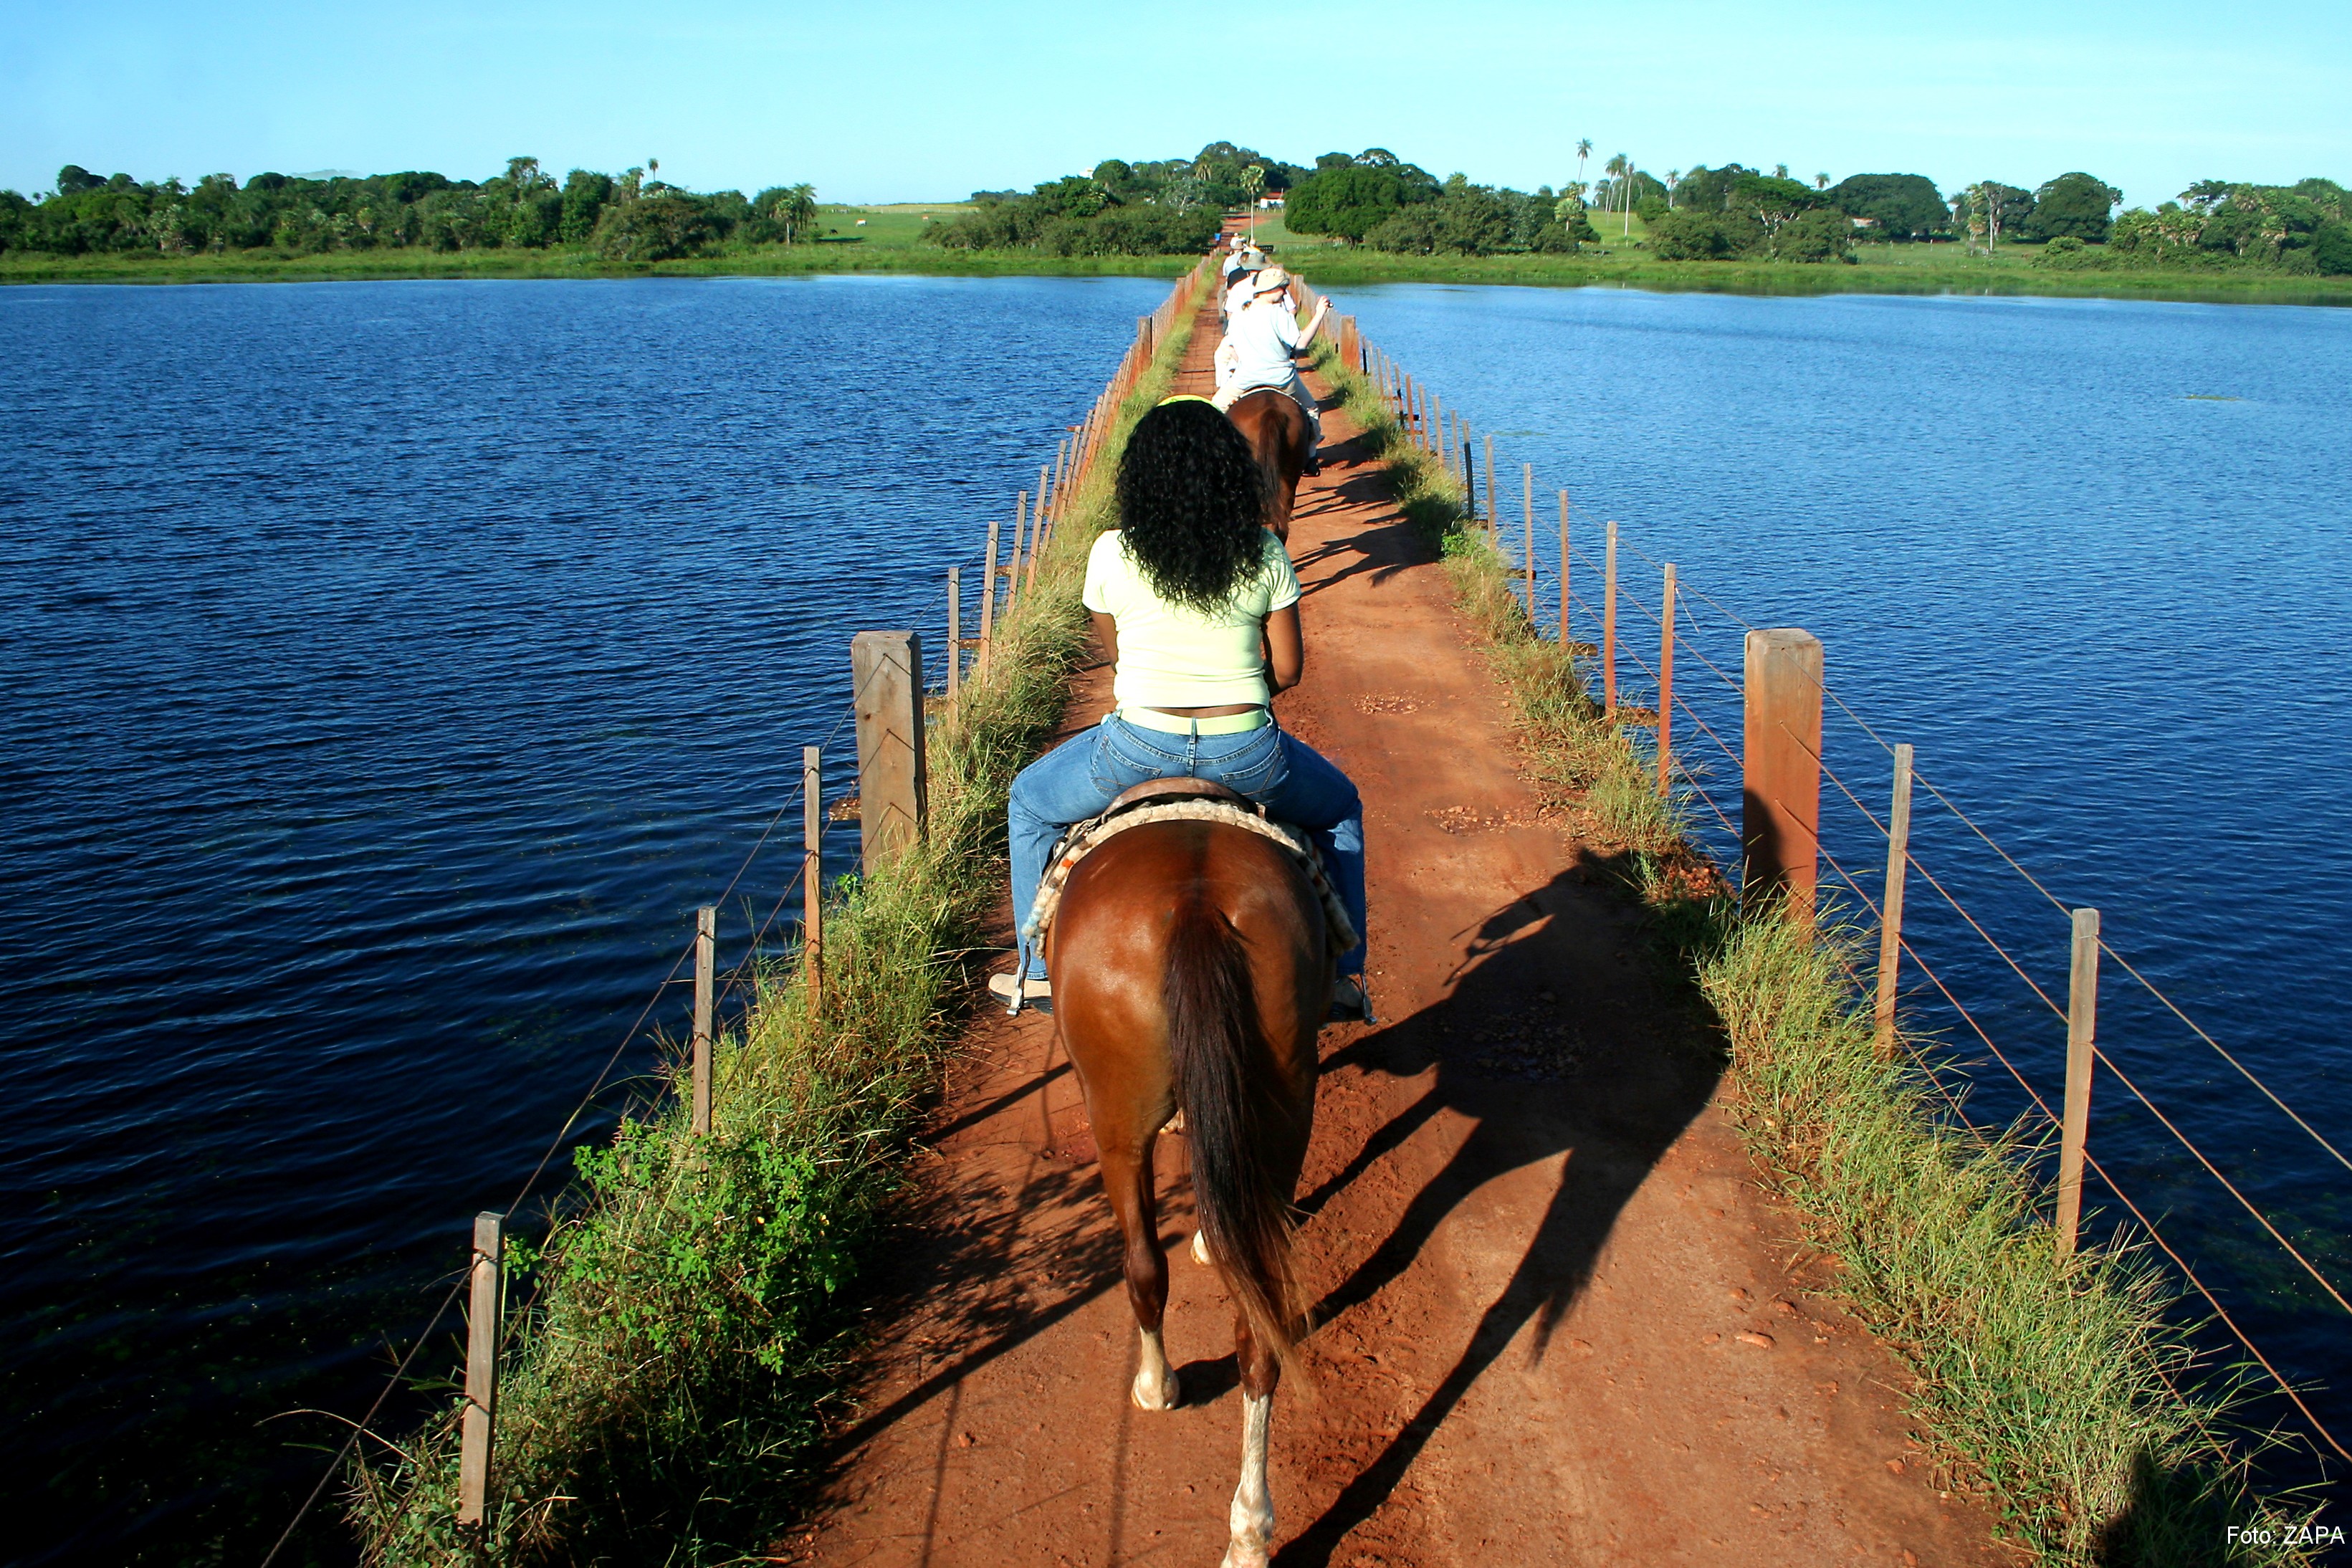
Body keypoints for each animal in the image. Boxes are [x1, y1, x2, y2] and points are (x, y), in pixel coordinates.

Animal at [1044, 785, 1336, 1568]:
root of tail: (1196, 905)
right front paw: (1211, 1232)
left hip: (1116, 1119)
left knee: (1145, 1266)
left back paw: (1157, 1385)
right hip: (1284, 1105)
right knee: (1260, 1330)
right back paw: (1250, 1532)